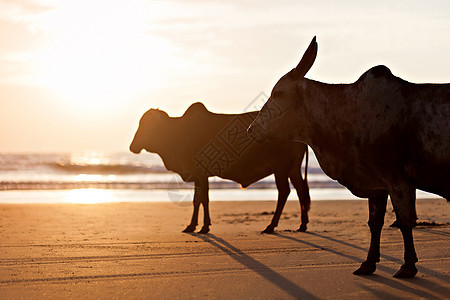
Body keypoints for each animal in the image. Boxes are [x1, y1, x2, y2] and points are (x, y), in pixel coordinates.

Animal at [129, 103, 310, 234]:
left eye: (148, 125)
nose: (132, 147)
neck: (178, 133)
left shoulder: (201, 173)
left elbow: (202, 199)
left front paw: (201, 227)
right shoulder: (199, 176)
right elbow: (199, 200)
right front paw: (195, 225)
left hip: (281, 168)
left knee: (284, 192)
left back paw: (271, 226)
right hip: (293, 169)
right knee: (301, 189)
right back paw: (302, 225)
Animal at [248, 37, 450, 278]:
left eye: (278, 93)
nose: (251, 130)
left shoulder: (397, 179)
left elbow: (404, 220)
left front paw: (408, 265)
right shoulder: (377, 184)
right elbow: (375, 223)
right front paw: (368, 263)